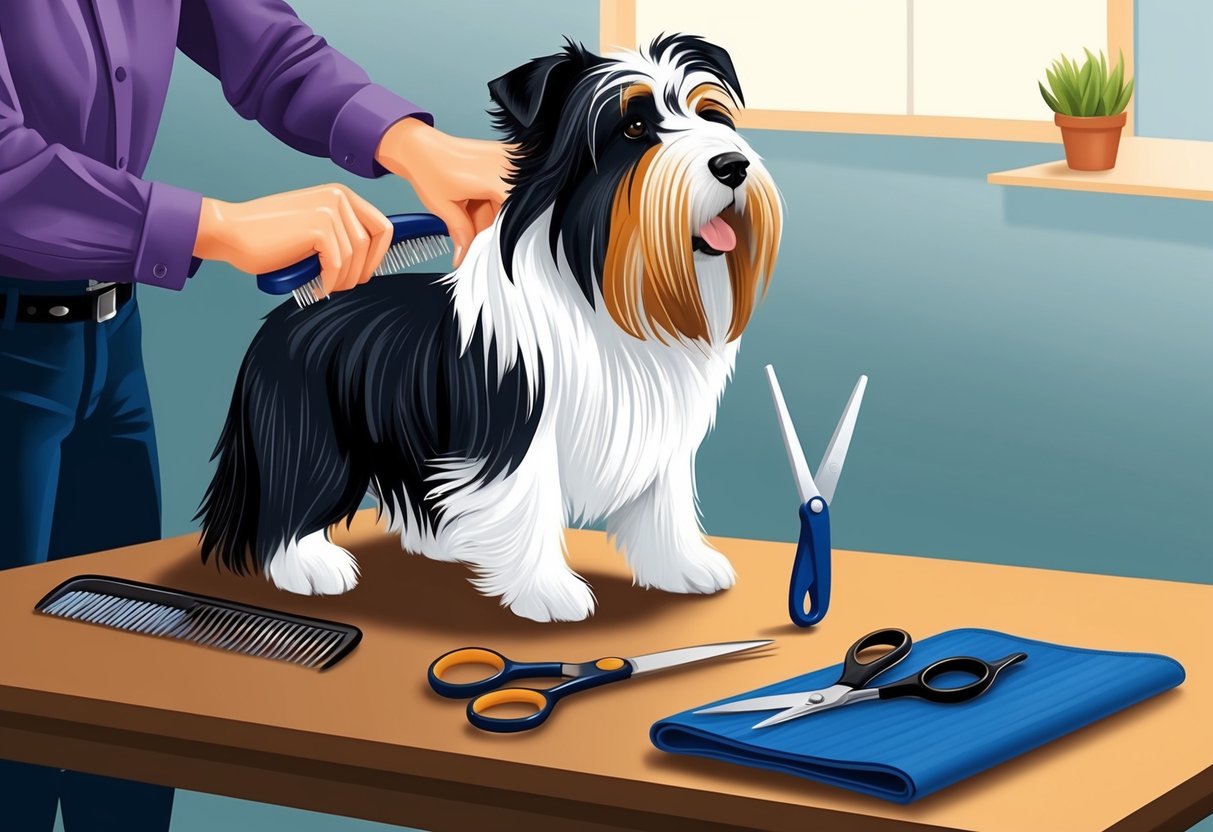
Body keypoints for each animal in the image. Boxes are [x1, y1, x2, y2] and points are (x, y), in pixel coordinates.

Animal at [196, 37, 786, 625]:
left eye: (710, 114)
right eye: (634, 128)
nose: (733, 165)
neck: (599, 281)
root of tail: (292, 307)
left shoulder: (660, 431)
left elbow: (664, 502)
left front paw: (681, 567)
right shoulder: (518, 428)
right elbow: (530, 498)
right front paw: (548, 592)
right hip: (312, 435)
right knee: (292, 496)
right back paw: (311, 567)